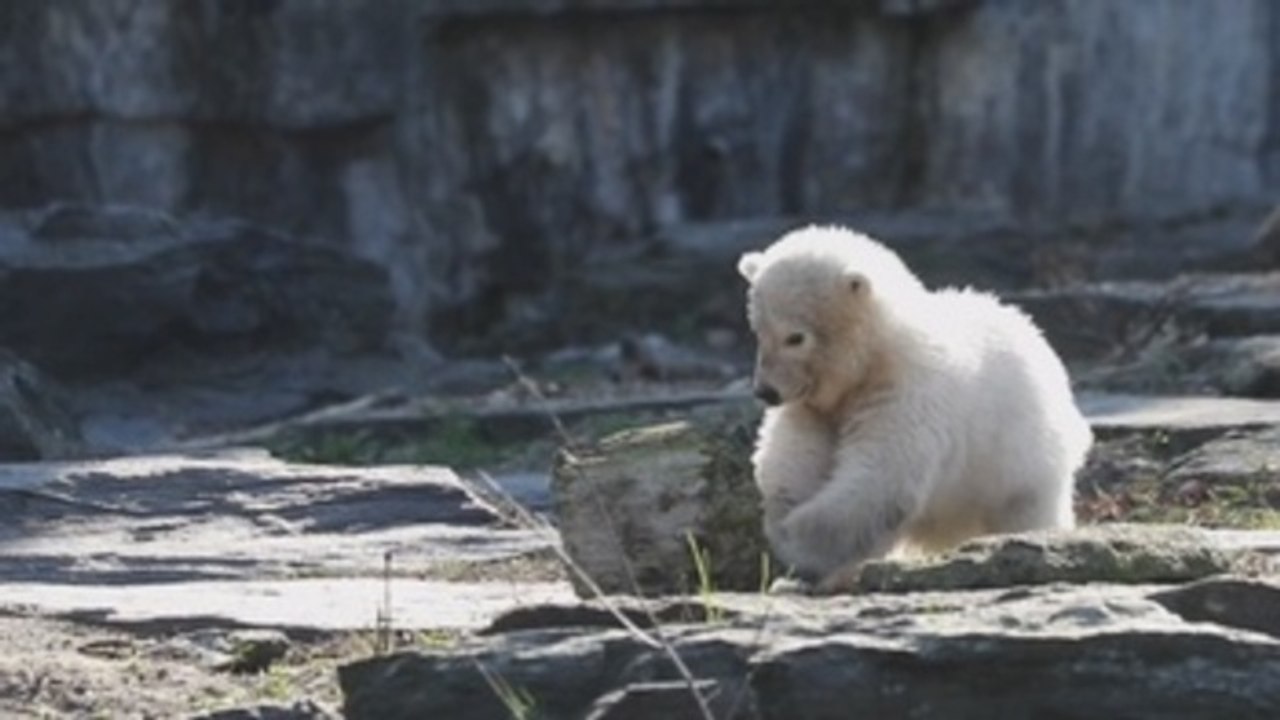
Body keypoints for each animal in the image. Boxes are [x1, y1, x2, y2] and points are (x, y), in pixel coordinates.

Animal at [737, 225, 1093, 592]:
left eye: (795, 337)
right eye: (758, 331)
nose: (765, 391)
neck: (880, 352)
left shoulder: (908, 391)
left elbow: (882, 473)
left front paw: (801, 542)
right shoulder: (814, 406)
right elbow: (794, 455)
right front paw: (784, 526)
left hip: (1021, 459)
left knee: (1026, 509)